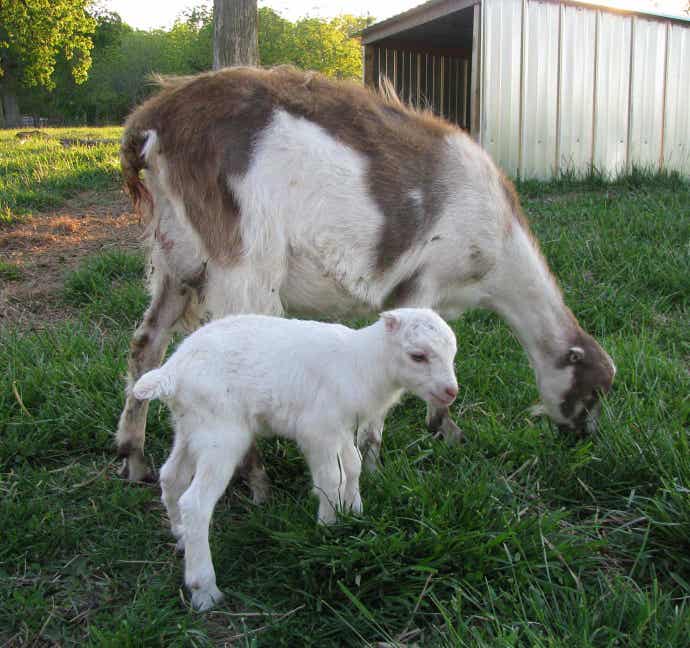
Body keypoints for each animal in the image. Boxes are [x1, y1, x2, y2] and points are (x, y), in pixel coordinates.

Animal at [132, 308, 460, 612]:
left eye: (453, 353)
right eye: (418, 356)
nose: (451, 392)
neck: (362, 364)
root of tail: (171, 372)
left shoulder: (340, 427)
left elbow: (352, 465)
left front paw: (354, 512)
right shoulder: (318, 429)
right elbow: (331, 478)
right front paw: (328, 528)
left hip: (191, 426)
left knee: (171, 476)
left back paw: (179, 535)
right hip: (221, 434)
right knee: (196, 503)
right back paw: (205, 590)